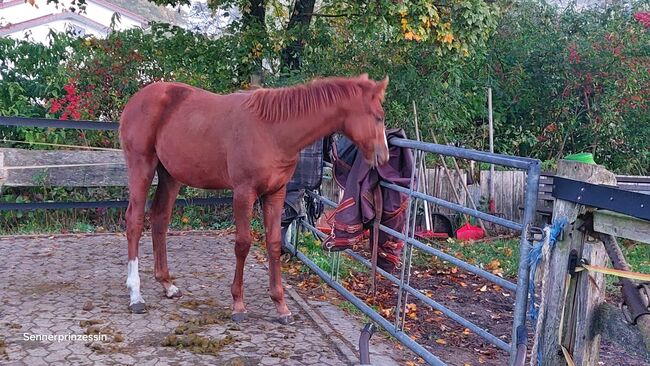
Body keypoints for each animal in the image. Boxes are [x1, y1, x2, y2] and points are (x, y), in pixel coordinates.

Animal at [119, 73, 388, 324]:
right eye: (378, 116)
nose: (383, 157)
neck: (273, 131)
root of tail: (137, 99)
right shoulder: (243, 192)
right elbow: (243, 244)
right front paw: (238, 305)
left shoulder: (276, 193)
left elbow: (274, 243)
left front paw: (281, 306)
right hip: (142, 166)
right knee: (134, 221)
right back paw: (135, 295)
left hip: (170, 175)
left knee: (160, 218)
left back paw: (167, 284)